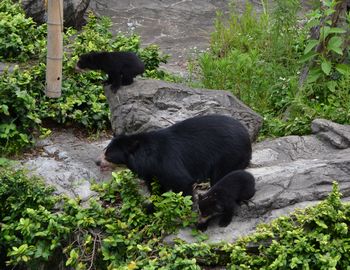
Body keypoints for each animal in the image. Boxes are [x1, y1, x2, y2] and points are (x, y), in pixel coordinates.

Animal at [96, 114, 252, 196]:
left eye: (108, 154)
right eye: (105, 150)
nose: (97, 162)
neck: (146, 157)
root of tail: (247, 135)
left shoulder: (165, 160)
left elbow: (181, 181)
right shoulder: (151, 171)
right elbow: (156, 186)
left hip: (229, 154)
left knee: (222, 176)